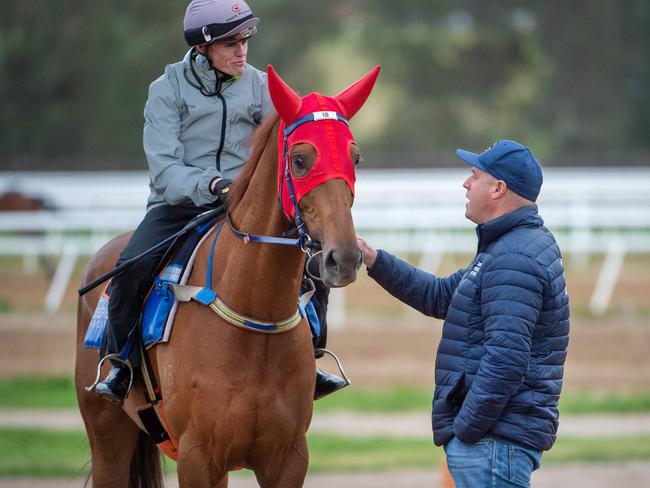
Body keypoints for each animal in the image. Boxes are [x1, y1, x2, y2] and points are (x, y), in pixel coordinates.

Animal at [76, 66, 380, 488]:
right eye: (300, 159)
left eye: (356, 157)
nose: (344, 257)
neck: (255, 319)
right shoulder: (197, 457)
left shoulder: (288, 458)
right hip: (107, 433)